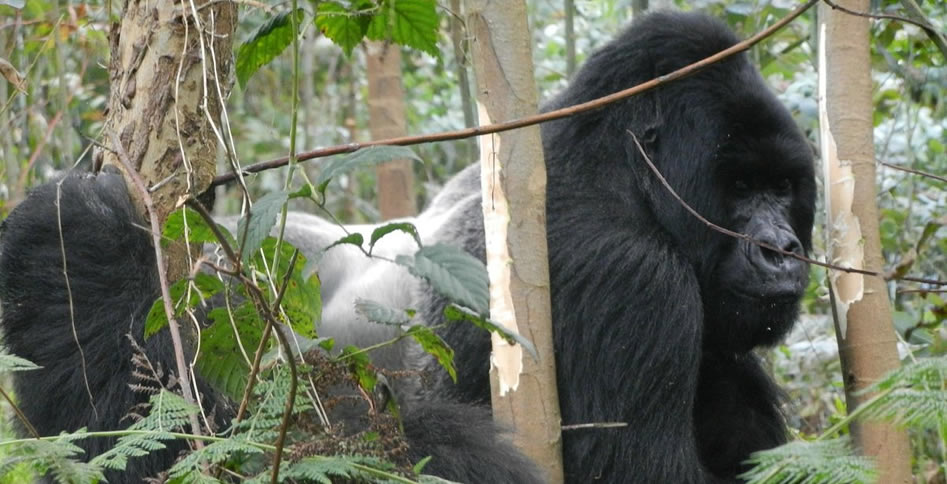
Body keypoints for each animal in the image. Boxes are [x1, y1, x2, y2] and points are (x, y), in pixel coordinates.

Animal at [0, 10, 816, 484]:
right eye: (741, 188)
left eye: (784, 189)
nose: (783, 249)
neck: (621, 171)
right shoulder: (632, 282)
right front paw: (80, 260)